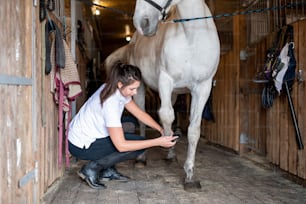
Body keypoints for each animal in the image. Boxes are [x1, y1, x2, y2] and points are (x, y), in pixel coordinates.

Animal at [104, 0, 219, 189]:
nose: (142, 23)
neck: (192, 39)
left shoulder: (203, 87)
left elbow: (193, 130)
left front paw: (189, 174)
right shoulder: (166, 80)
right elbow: (166, 117)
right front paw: (166, 141)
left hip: (173, 94)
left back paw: (170, 155)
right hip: (140, 88)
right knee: (143, 118)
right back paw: (141, 158)